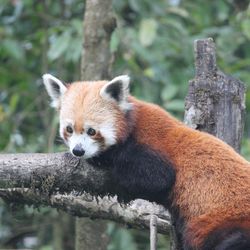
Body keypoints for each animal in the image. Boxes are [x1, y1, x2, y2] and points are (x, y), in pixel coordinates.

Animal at [42, 74, 250, 250]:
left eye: (91, 131)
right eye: (69, 129)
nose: (78, 151)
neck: (132, 123)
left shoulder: (153, 146)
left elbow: (158, 178)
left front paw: (101, 158)